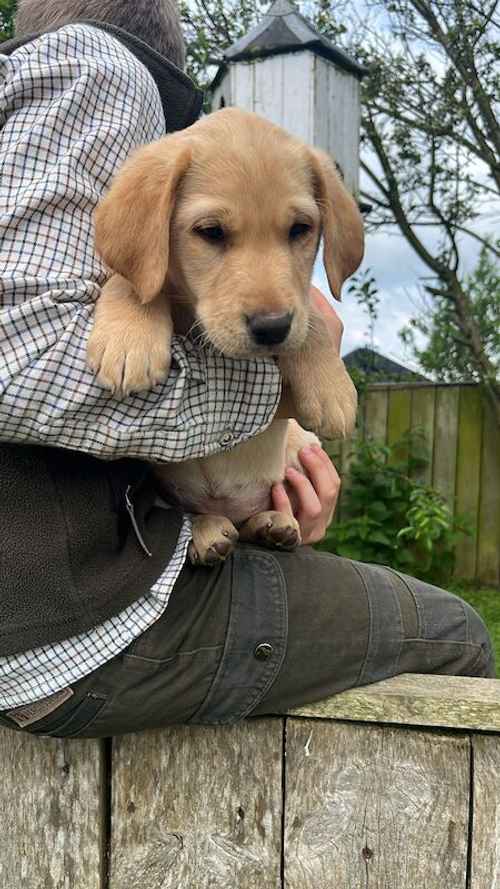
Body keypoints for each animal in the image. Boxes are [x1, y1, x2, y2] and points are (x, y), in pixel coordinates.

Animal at [88, 106, 364, 560]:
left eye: (300, 229)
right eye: (211, 232)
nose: (272, 328)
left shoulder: (300, 302)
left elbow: (313, 318)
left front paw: (332, 389)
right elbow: (132, 280)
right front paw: (127, 340)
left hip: (296, 447)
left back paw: (275, 522)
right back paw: (207, 530)